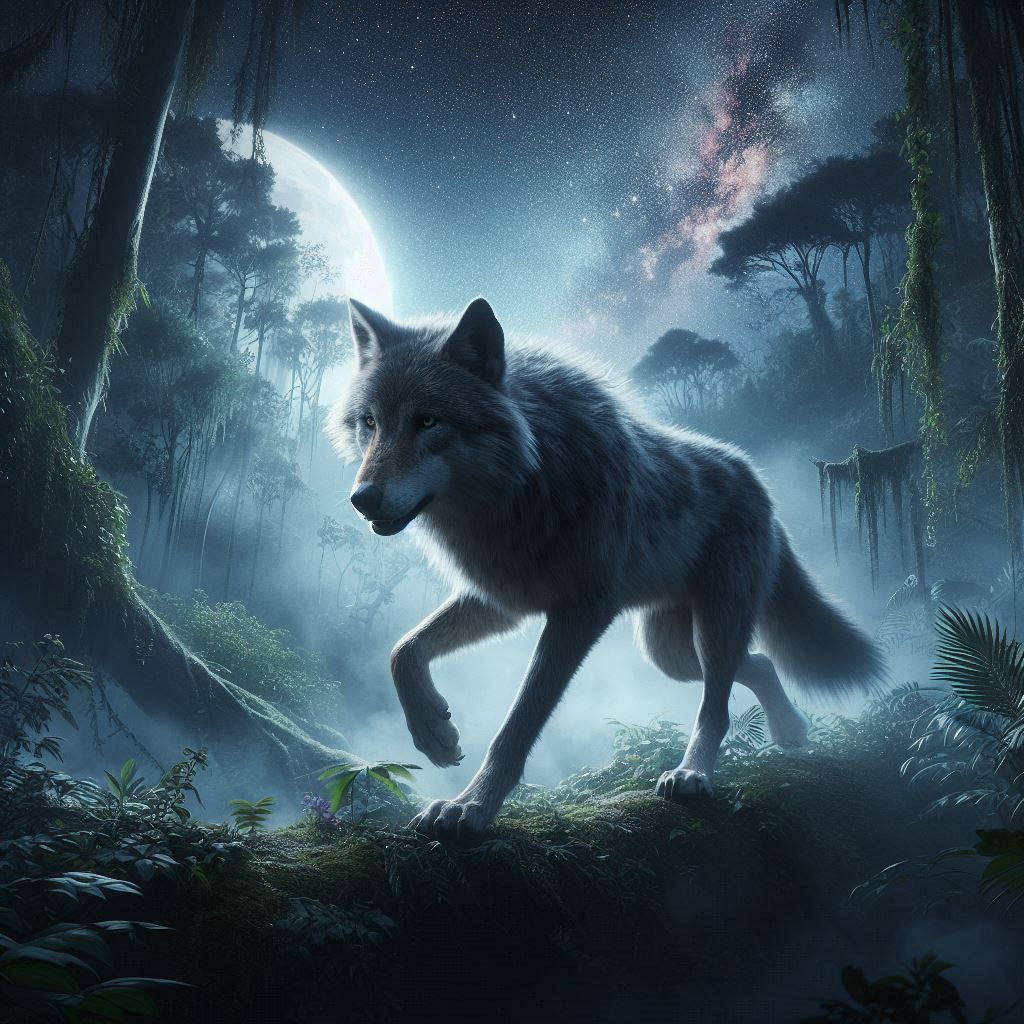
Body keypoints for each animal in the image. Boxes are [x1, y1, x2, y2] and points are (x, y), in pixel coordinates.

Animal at [328, 297, 884, 837]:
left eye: (427, 421)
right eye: (370, 422)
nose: (361, 499)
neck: (524, 484)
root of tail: (756, 477)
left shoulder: (579, 613)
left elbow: (517, 725)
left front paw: (472, 808)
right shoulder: (504, 601)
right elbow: (403, 651)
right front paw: (435, 735)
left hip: (712, 624)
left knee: (717, 704)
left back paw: (693, 774)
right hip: (668, 652)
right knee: (755, 664)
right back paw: (791, 730)